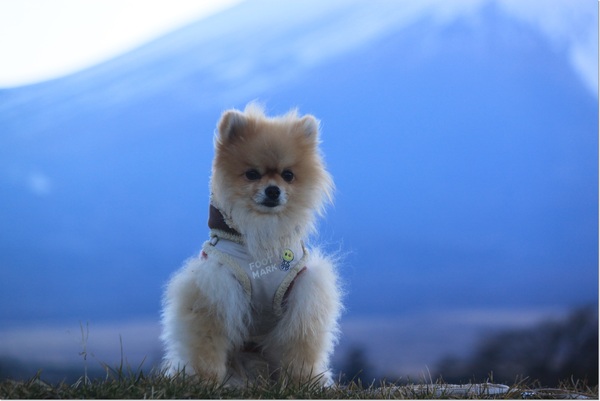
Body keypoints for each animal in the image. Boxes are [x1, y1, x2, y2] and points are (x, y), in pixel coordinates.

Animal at [161, 102, 342, 384]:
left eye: (288, 175)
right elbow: (207, 338)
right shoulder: (216, 286)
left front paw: (302, 380)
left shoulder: (303, 291)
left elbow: (300, 341)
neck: (262, 235)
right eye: (252, 174)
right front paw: (205, 378)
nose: (273, 190)